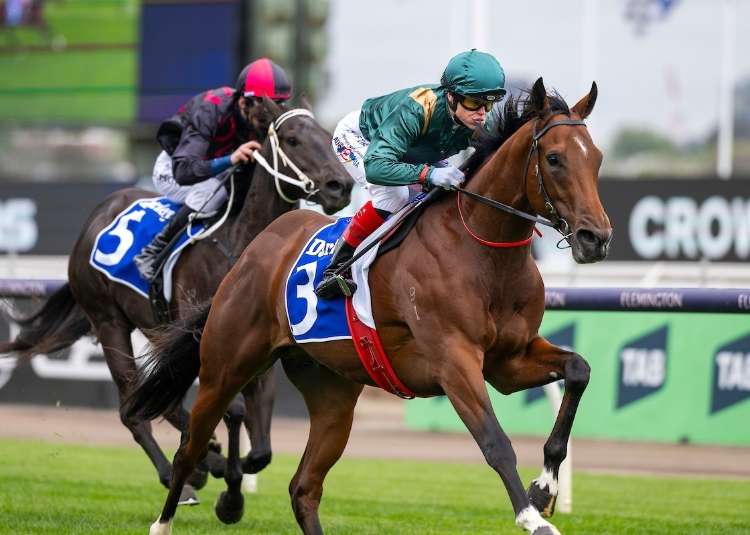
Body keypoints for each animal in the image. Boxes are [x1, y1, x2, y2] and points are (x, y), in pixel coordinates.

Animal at [0, 100, 353, 509]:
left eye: (326, 136)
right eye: (293, 139)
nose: (341, 186)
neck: (240, 244)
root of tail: (100, 212)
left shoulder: (256, 343)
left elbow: (261, 445)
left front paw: (226, 468)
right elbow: (232, 411)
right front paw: (223, 479)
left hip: (159, 331)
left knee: (161, 399)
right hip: (109, 321)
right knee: (132, 408)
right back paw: (180, 476)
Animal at [128, 78, 611, 535]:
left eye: (597, 158)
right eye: (554, 159)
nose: (596, 238)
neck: (480, 249)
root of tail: (251, 254)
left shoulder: (508, 361)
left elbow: (579, 371)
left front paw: (544, 488)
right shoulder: (454, 360)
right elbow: (495, 442)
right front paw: (533, 518)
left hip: (333, 393)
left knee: (304, 488)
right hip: (224, 368)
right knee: (189, 449)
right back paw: (168, 519)